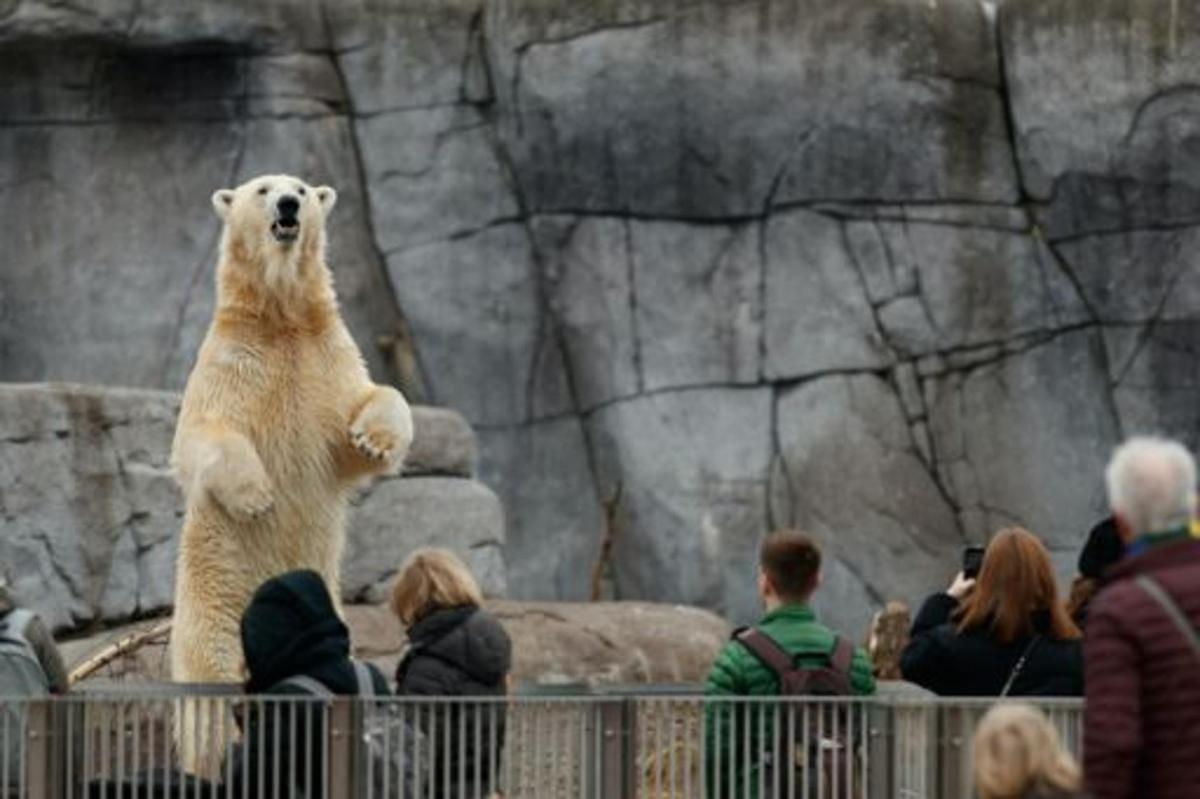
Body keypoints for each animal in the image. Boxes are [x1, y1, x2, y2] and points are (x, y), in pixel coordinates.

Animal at [169, 172, 412, 772]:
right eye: (261, 189)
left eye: (301, 188)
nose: (287, 205)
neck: (280, 320)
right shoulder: (232, 362)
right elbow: (203, 436)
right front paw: (256, 496)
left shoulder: (328, 357)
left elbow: (366, 405)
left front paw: (374, 438)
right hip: (213, 604)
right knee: (209, 698)